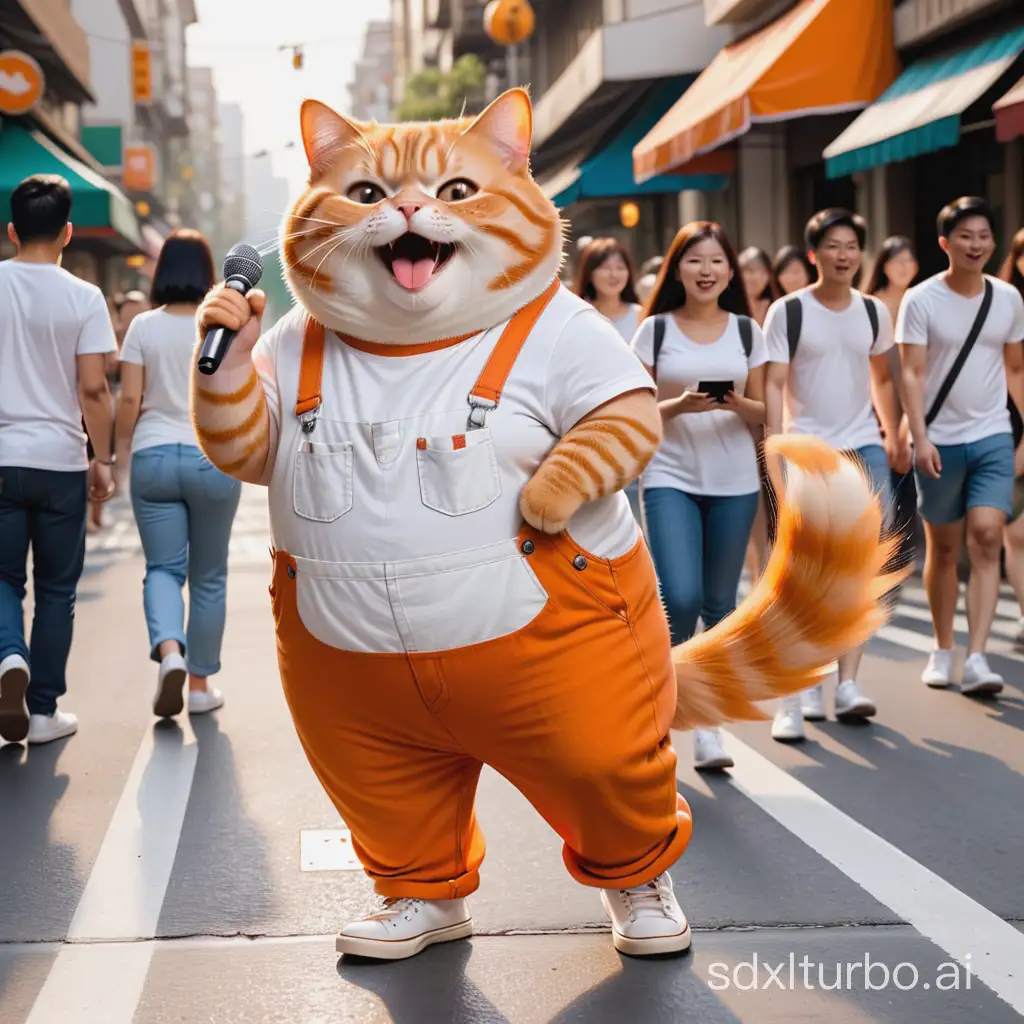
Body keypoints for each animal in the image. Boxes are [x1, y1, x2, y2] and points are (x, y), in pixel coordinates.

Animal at [192, 88, 905, 958]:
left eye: (457, 191)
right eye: (365, 194)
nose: (408, 207)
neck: (413, 342)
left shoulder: (603, 373)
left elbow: (607, 430)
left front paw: (543, 498)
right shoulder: (274, 388)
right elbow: (243, 437)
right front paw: (224, 321)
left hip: (586, 705)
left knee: (609, 784)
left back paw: (645, 903)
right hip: (351, 712)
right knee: (390, 802)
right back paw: (415, 909)